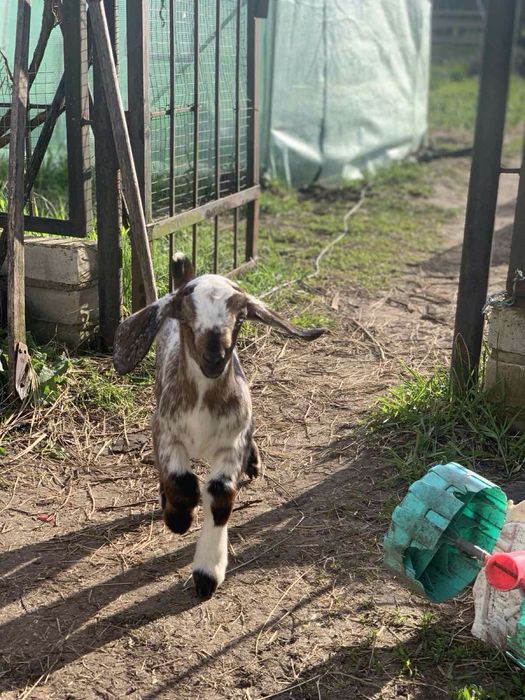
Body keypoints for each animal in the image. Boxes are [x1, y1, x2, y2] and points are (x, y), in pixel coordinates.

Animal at [113, 253, 324, 599]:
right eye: (186, 317)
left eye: (240, 319)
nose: (215, 356)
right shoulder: (165, 431)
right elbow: (181, 481)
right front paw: (179, 518)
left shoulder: (233, 440)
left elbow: (221, 495)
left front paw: (207, 573)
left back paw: (254, 461)